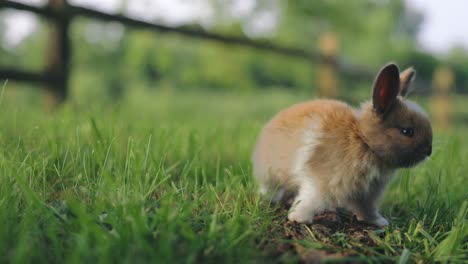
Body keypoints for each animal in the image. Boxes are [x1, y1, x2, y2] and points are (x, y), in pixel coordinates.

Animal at [254, 63, 434, 226]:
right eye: (407, 131)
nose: (429, 151)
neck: (363, 141)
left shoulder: (368, 194)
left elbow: (366, 209)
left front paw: (378, 222)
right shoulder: (321, 182)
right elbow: (310, 199)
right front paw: (299, 218)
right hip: (271, 175)